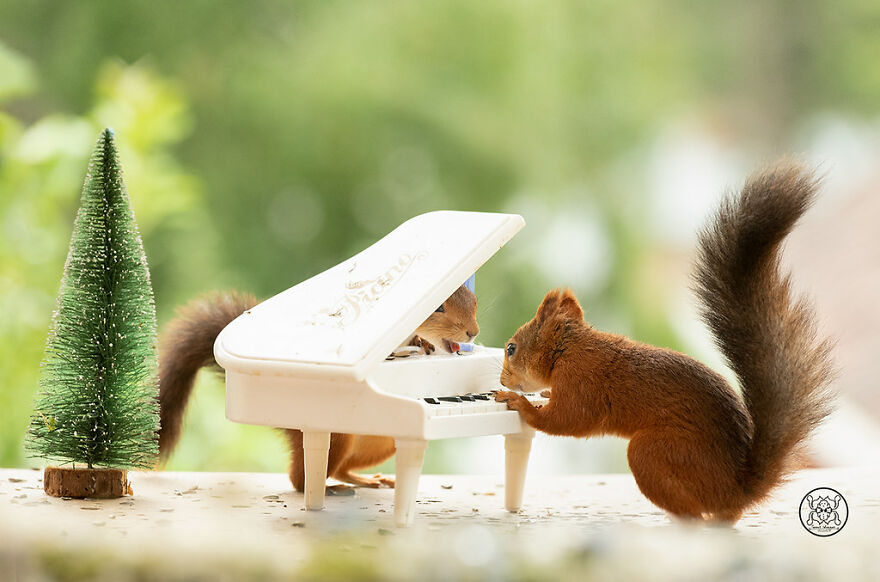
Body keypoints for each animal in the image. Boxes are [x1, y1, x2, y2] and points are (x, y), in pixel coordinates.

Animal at [157, 284, 479, 490]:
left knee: (341, 468)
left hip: (381, 439)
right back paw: (326, 489)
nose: (473, 332)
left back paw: (365, 480)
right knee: (301, 480)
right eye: (438, 307)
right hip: (337, 436)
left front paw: (422, 343)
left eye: (474, 300)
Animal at [494, 161, 835, 523]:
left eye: (511, 349)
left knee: (693, 512)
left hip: (658, 453)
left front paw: (520, 403)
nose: (502, 379)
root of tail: (738, 490)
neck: (569, 350)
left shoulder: (581, 382)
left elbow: (567, 421)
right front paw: (542, 394)